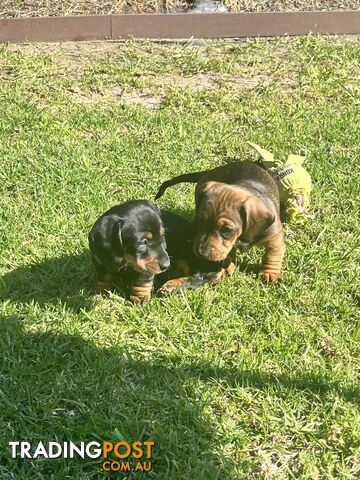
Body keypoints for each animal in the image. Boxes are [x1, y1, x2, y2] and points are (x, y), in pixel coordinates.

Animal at [156, 162, 286, 282]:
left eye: (227, 230)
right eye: (201, 220)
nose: (201, 253)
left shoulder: (274, 235)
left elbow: (273, 254)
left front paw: (270, 273)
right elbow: (229, 251)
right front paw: (230, 264)